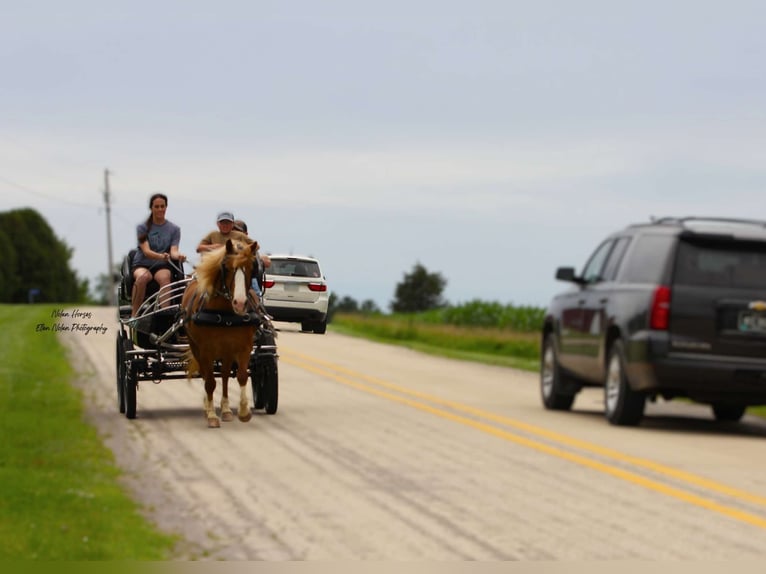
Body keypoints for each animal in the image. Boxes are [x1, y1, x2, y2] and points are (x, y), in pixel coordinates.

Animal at [182, 238, 260, 428]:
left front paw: (244, 412)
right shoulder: (205, 349)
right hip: (196, 347)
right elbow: (210, 382)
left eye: (252, 267)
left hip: (227, 349)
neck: (226, 313)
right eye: (227, 267)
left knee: (224, 375)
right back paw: (208, 408)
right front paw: (211, 415)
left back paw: (225, 410)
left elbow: (241, 376)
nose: (240, 303)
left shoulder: (244, 346)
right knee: (206, 375)